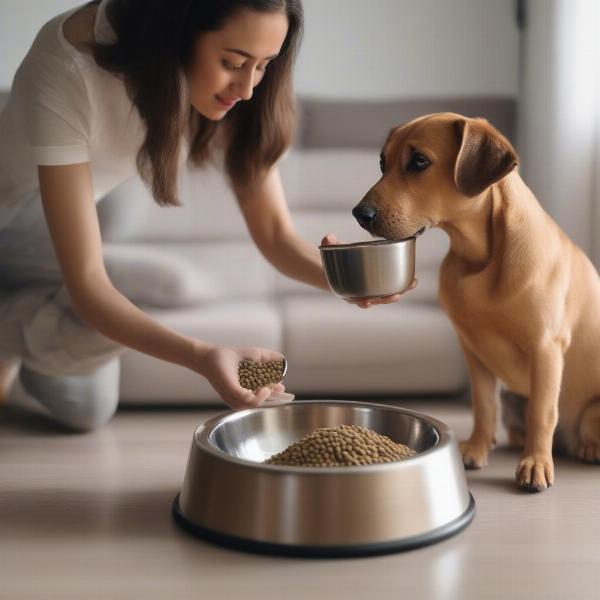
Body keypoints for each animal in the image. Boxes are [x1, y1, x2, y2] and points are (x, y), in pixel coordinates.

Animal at [352, 112, 600, 492]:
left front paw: (536, 463)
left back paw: (583, 448)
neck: (480, 257)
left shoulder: (546, 349)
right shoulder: (474, 350)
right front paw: (478, 449)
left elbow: (542, 412)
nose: (358, 213)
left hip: (591, 413)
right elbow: (482, 406)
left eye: (419, 161)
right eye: (382, 163)